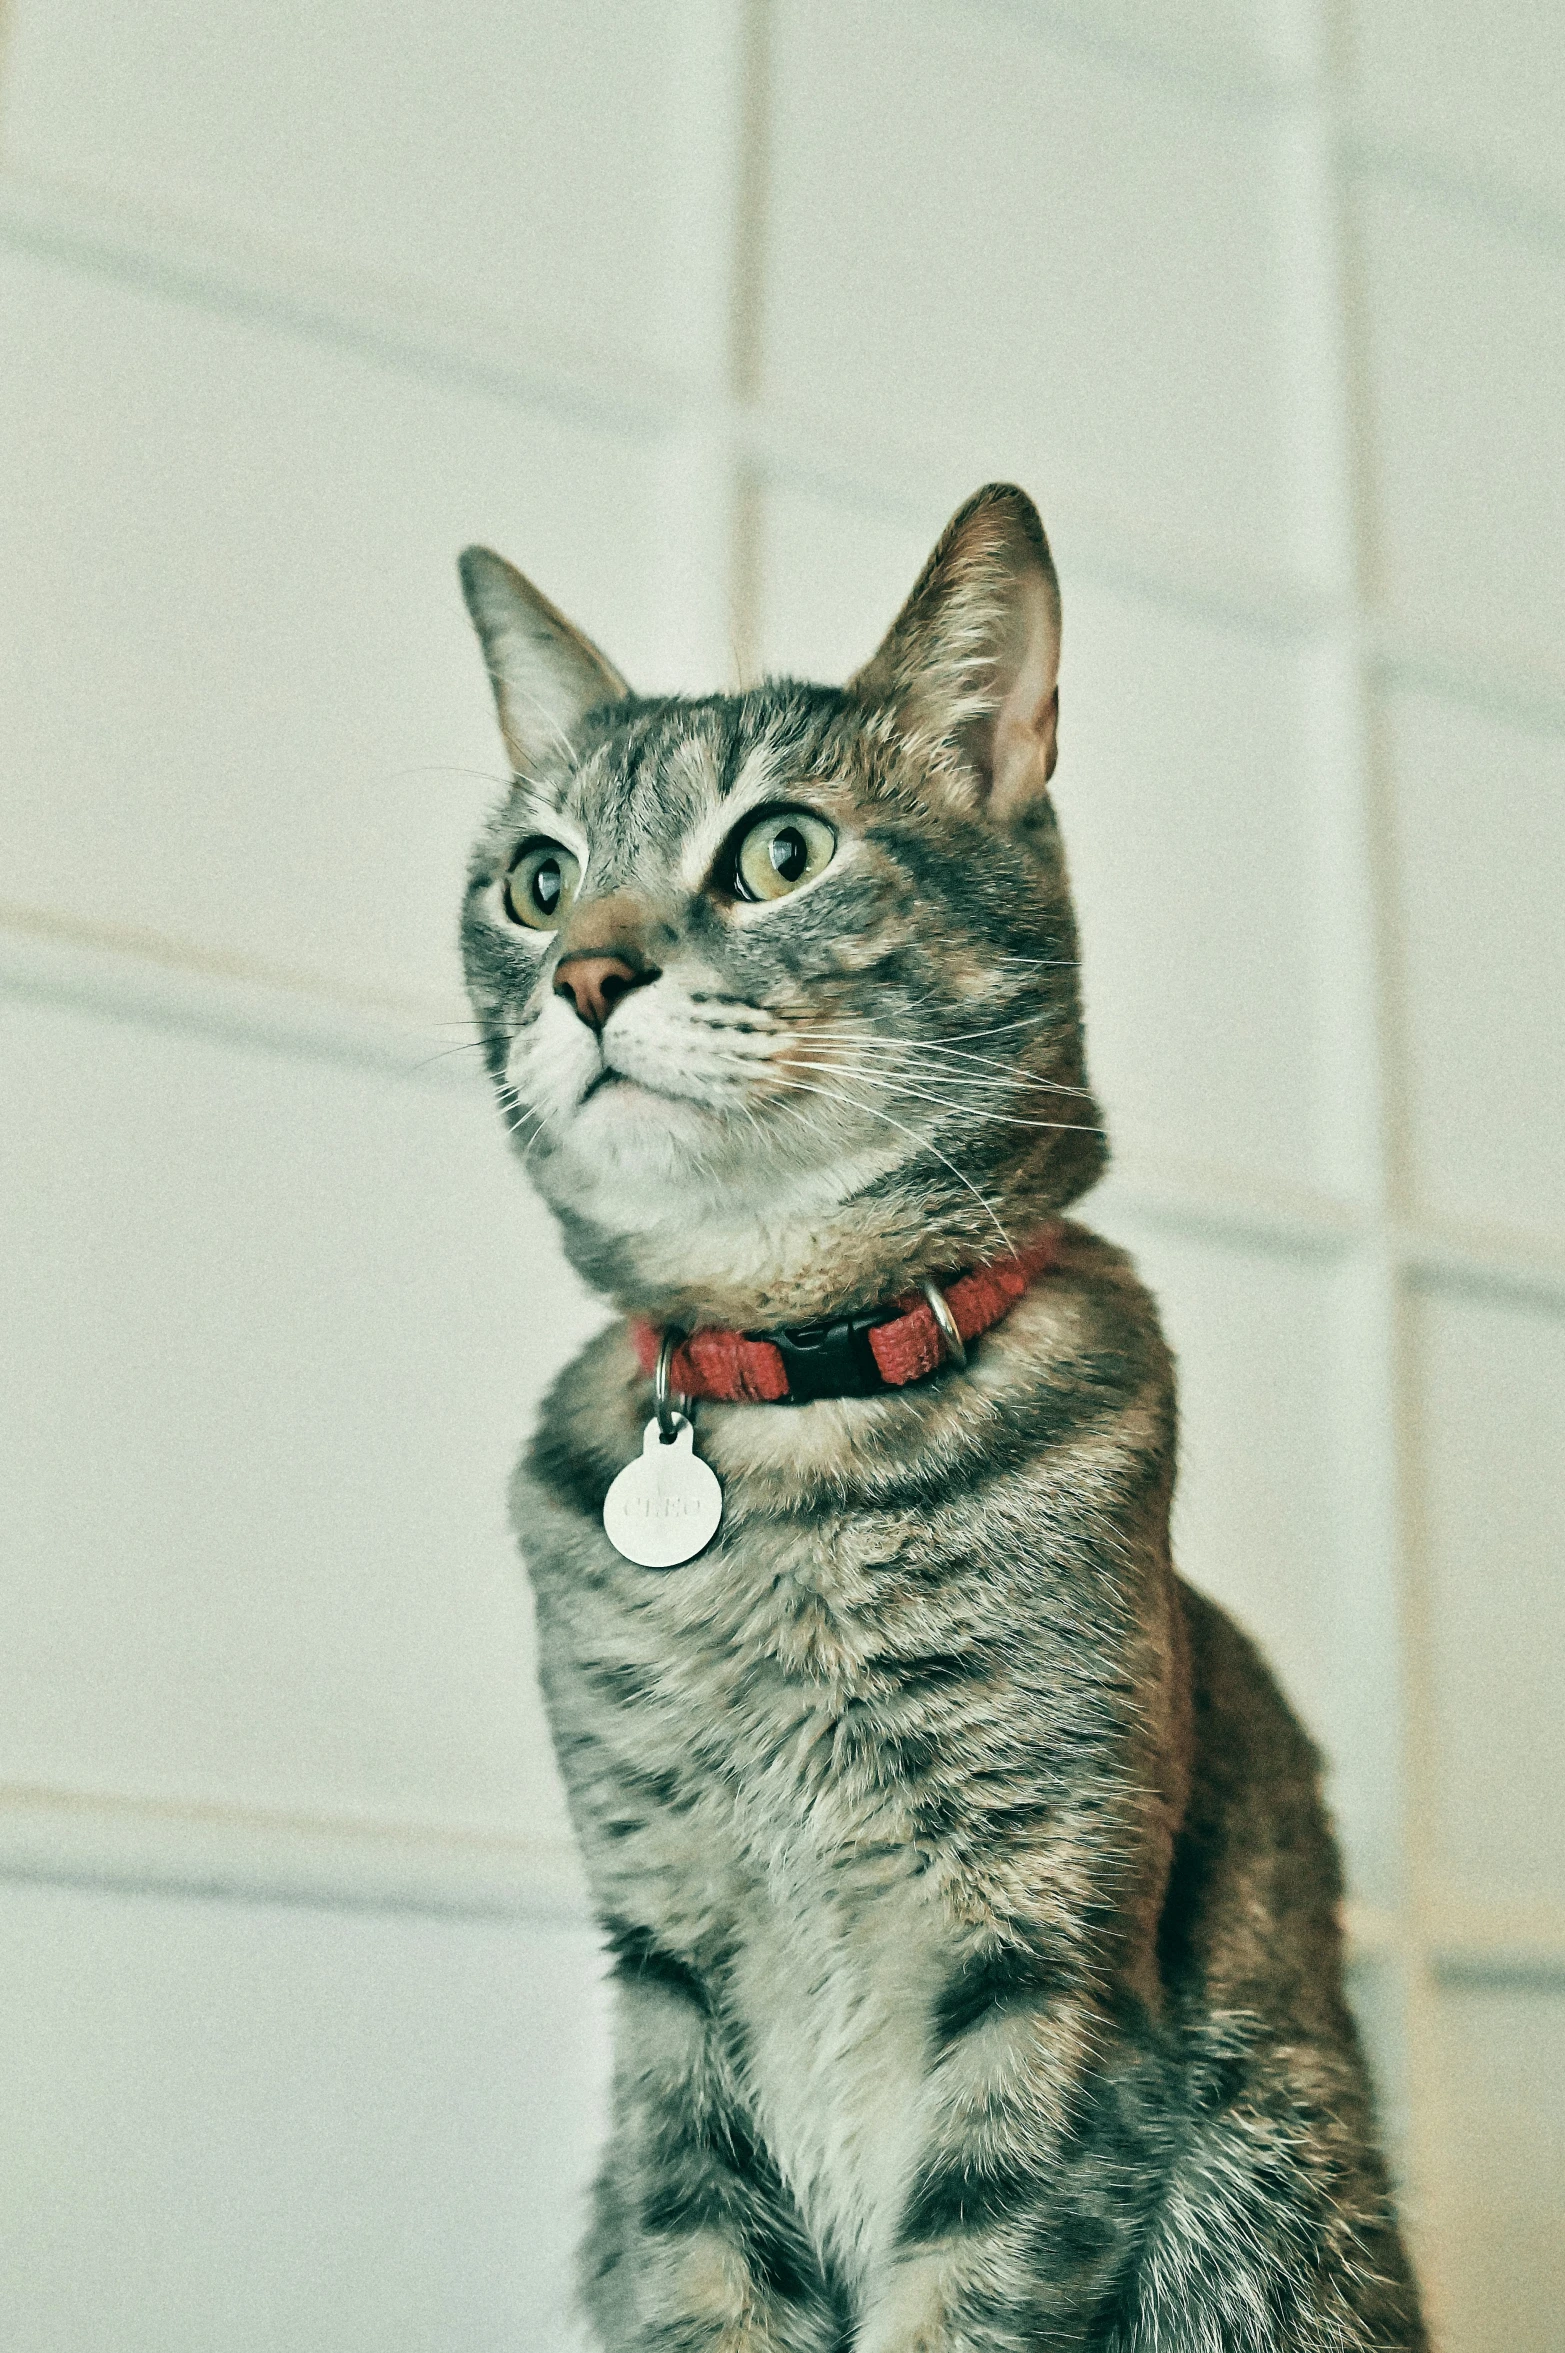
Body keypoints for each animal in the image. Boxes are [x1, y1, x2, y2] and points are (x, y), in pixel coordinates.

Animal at [458, 487, 1421, 2343]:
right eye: (537, 882)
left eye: (779, 851)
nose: (588, 973)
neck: (795, 1409)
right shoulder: (666, 1979)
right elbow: (705, 2268)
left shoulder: (1049, 1952)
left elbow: (968, 2270)